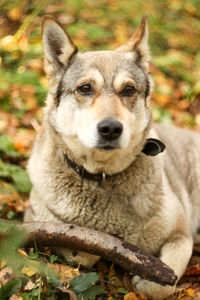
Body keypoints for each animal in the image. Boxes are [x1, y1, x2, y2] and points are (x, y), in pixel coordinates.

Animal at [24, 16, 200, 300]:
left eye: (128, 90)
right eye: (85, 88)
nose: (110, 128)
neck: (103, 176)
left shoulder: (181, 234)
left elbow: (165, 280)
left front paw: (147, 281)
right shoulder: (38, 222)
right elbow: (81, 251)